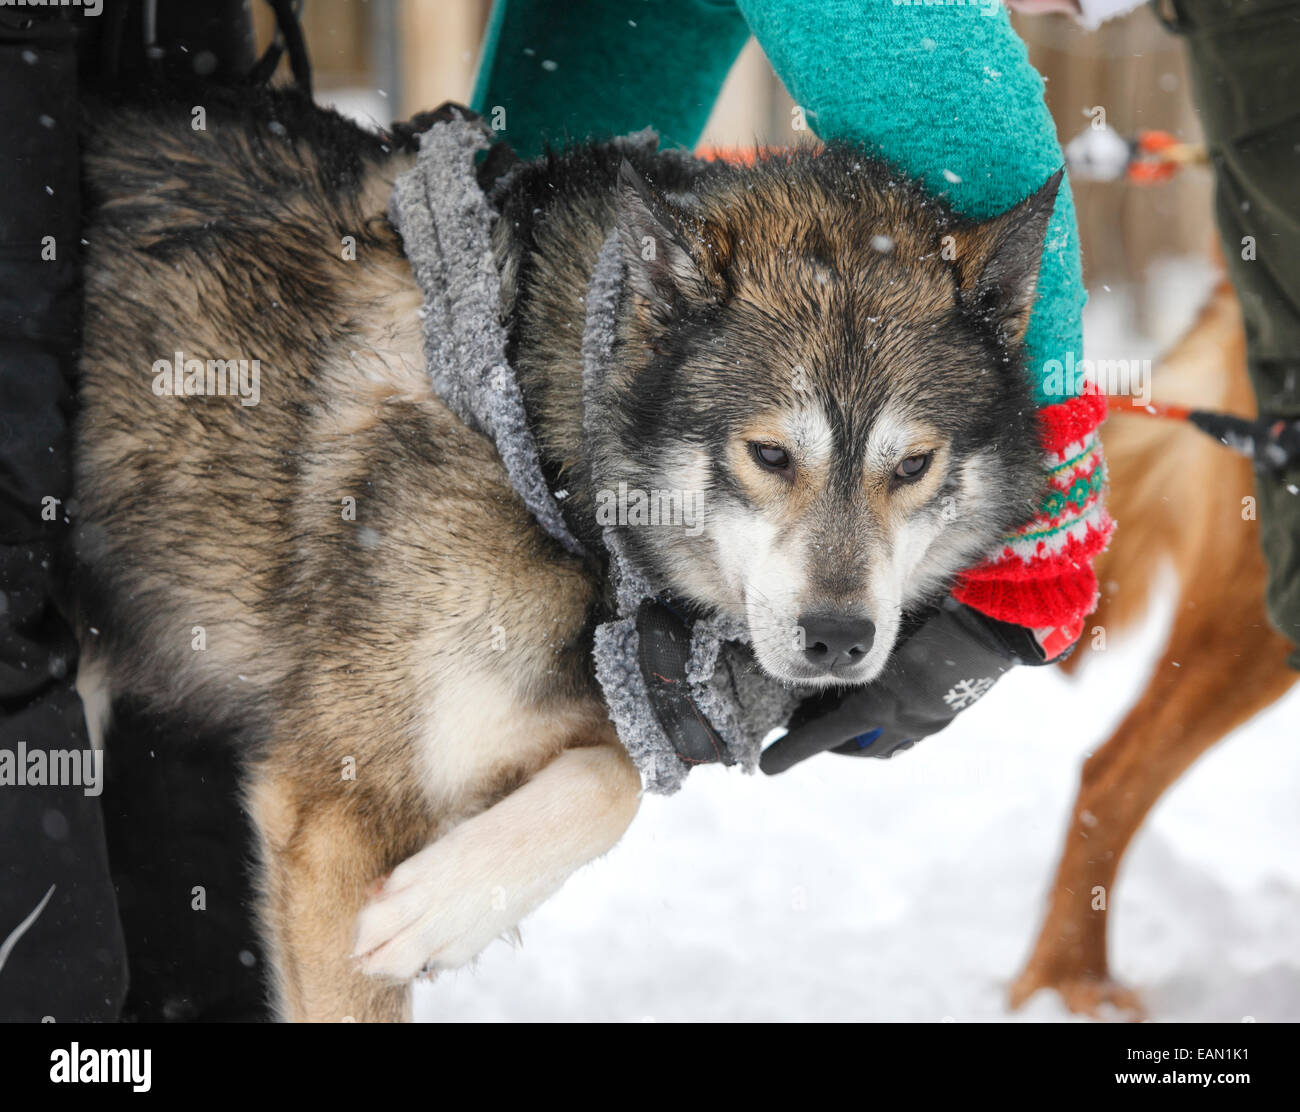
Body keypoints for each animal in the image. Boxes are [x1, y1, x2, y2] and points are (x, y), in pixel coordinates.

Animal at [73, 91, 1055, 1019]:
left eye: (914, 465)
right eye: (770, 454)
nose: (839, 639)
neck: (543, 453)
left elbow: (618, 771)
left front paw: (451, 902)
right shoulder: (331, 811)